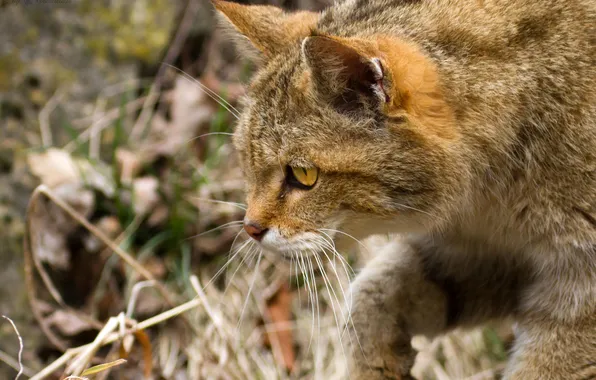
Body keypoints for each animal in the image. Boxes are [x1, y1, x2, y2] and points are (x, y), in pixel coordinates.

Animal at [214, 0, 596, 378]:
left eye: (303, 175)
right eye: (246, 161)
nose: (250, 228)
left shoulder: (579, 289)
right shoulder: (489, 251)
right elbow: (371, 293)